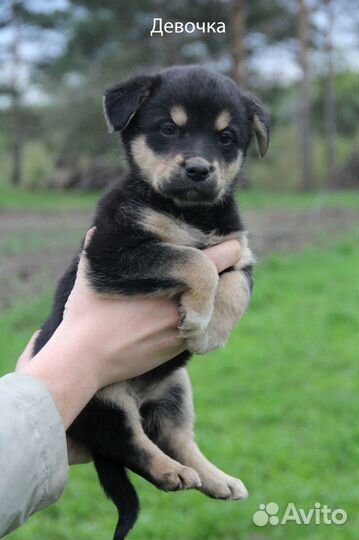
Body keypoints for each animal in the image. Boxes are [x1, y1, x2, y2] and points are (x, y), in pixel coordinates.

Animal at [33, 65, 270, 536]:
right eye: (168, 129)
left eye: (226, 138)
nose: (198, 169)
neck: (188, 212)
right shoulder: (112, 253)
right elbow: (192, 258)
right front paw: (199, 317)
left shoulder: (239, 250)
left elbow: (235, 285)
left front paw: (212, 331)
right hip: (103, 399)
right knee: (128, 443)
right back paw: (171, 473)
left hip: (176, 389)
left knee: (175, 437)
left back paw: (217, 479)